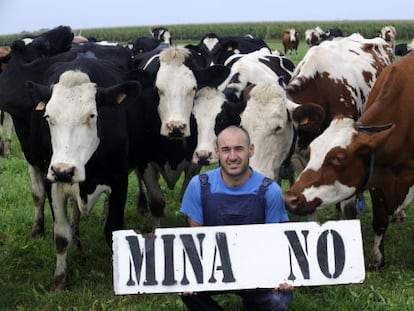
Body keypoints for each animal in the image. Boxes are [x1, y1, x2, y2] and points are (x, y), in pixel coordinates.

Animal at [284, 51, 414, 270]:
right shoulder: (376, 175)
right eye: (310, 153)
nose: (290, 199)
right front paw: (377, 259)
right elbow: (379, 221)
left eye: (338, 159)